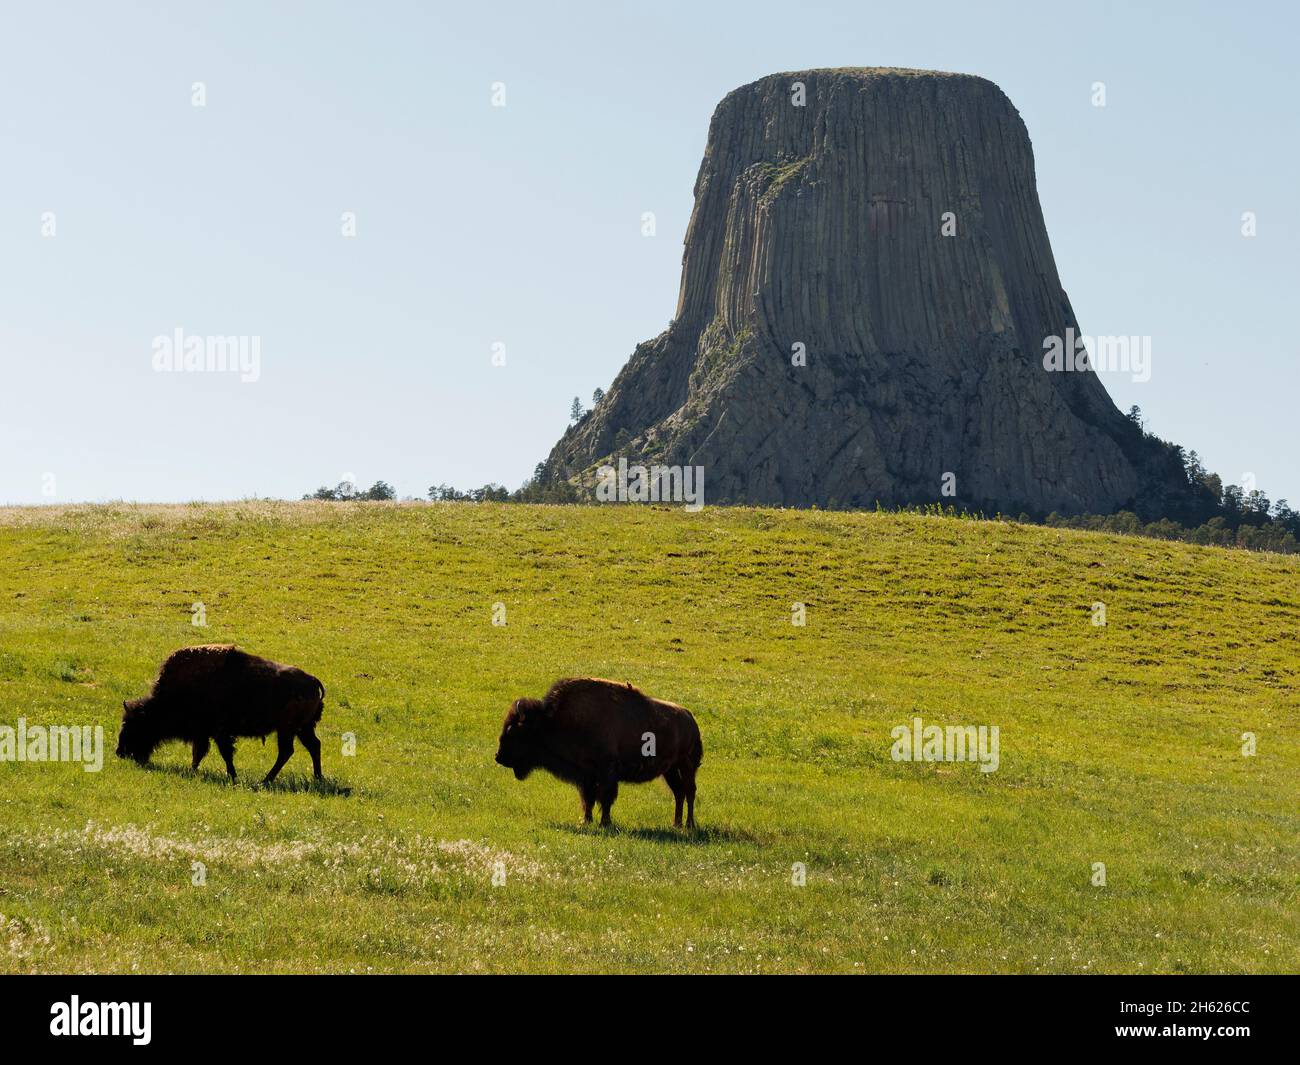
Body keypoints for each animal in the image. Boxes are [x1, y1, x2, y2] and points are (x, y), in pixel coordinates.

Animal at [117, 642, 325, 785]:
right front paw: (193, 771)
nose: (120, 752)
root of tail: (313, 681)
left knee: (287, 751)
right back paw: (316, 777)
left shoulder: (218, 732)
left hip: (288, 729)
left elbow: (223, 753)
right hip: (302, 729)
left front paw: (232, 776)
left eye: (133, 725)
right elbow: (199, 753)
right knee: (312, 746)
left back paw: (266, 780)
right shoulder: (204, 733)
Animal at [493, 681, 702, 827]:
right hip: (670, 770)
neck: (552, 722)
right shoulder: (586, 775)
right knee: (679, 792)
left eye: (513, 731)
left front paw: (604, 823)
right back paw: (676, 824)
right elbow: (589, 798)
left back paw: (689, 825)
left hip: (687, 766)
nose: (499, 757)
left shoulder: (606, 772)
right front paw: (586, 821)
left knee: (690, 791)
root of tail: (690, 717)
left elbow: (605, 797)